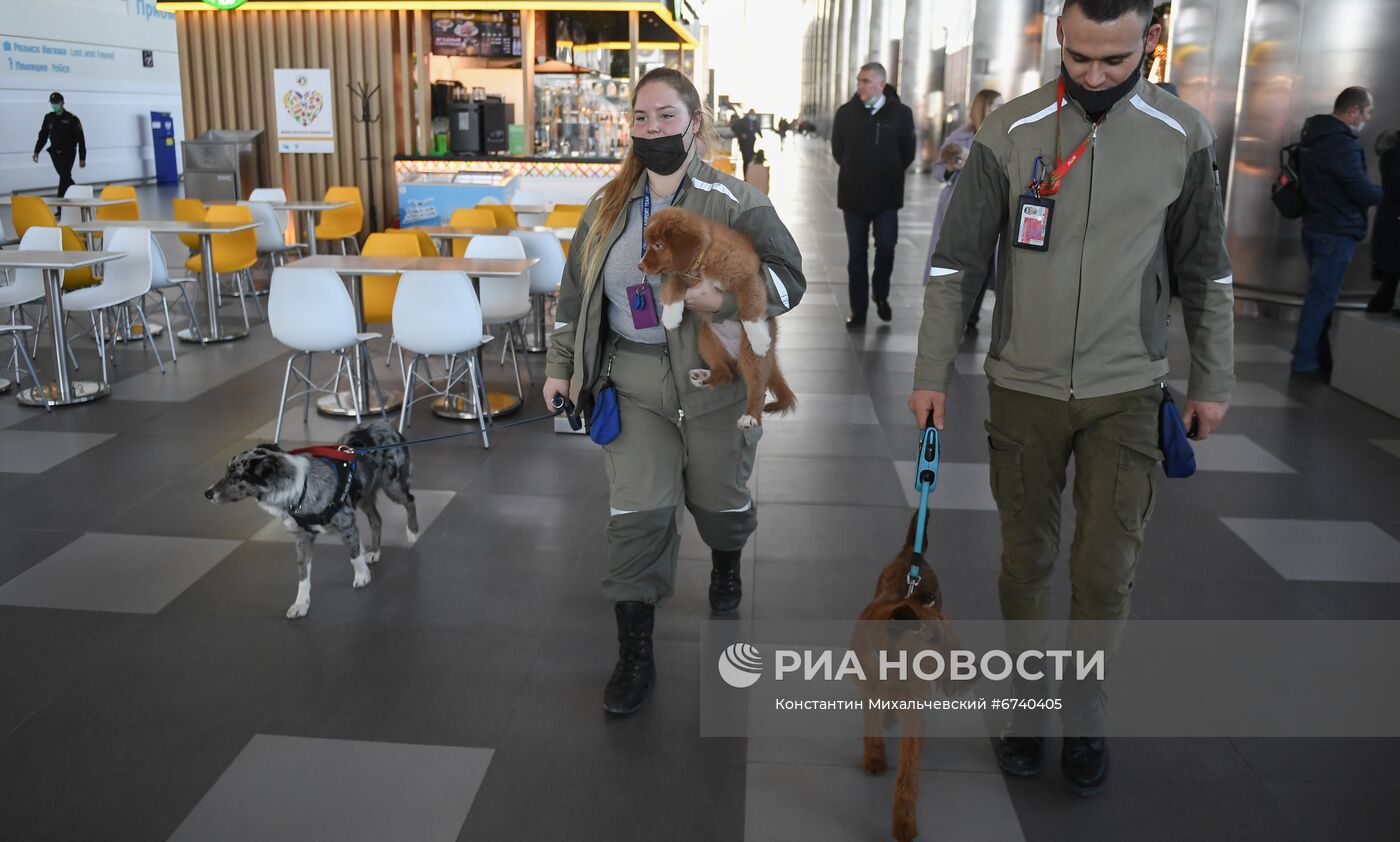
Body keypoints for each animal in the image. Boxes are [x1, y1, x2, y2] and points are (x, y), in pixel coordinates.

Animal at [641, 203, 795, 425]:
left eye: (658, 245)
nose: (640, 266)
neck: (703, 256)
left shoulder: (747, 278)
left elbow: (748, 309)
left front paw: (758, 338)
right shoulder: (681, 273)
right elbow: (674, 286)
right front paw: (670, 316)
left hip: (750, 355)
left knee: (757, 385)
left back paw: (750, 415)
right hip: (705, 339)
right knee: (726, 374)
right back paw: (703, 377)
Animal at [845, 512, 968, 840]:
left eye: (945, 638)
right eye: (933, 640)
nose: (970, 672)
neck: (894, 660)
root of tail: (911, 554)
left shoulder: (914, 710)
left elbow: (908, 771)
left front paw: (904, 822)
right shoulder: (869, 688)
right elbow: (872, 723)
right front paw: (874, 757)